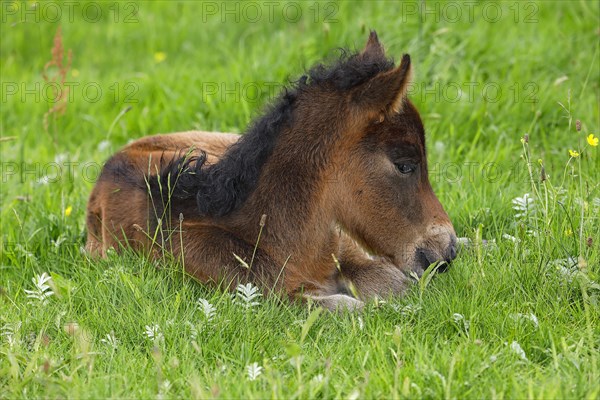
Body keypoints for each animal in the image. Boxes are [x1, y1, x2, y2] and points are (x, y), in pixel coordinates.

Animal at [86, 32, 458, 312]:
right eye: (405, 165)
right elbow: (348, 307)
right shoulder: (264, 293)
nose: (447, 251)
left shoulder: (347, 245)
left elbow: (392, 284)